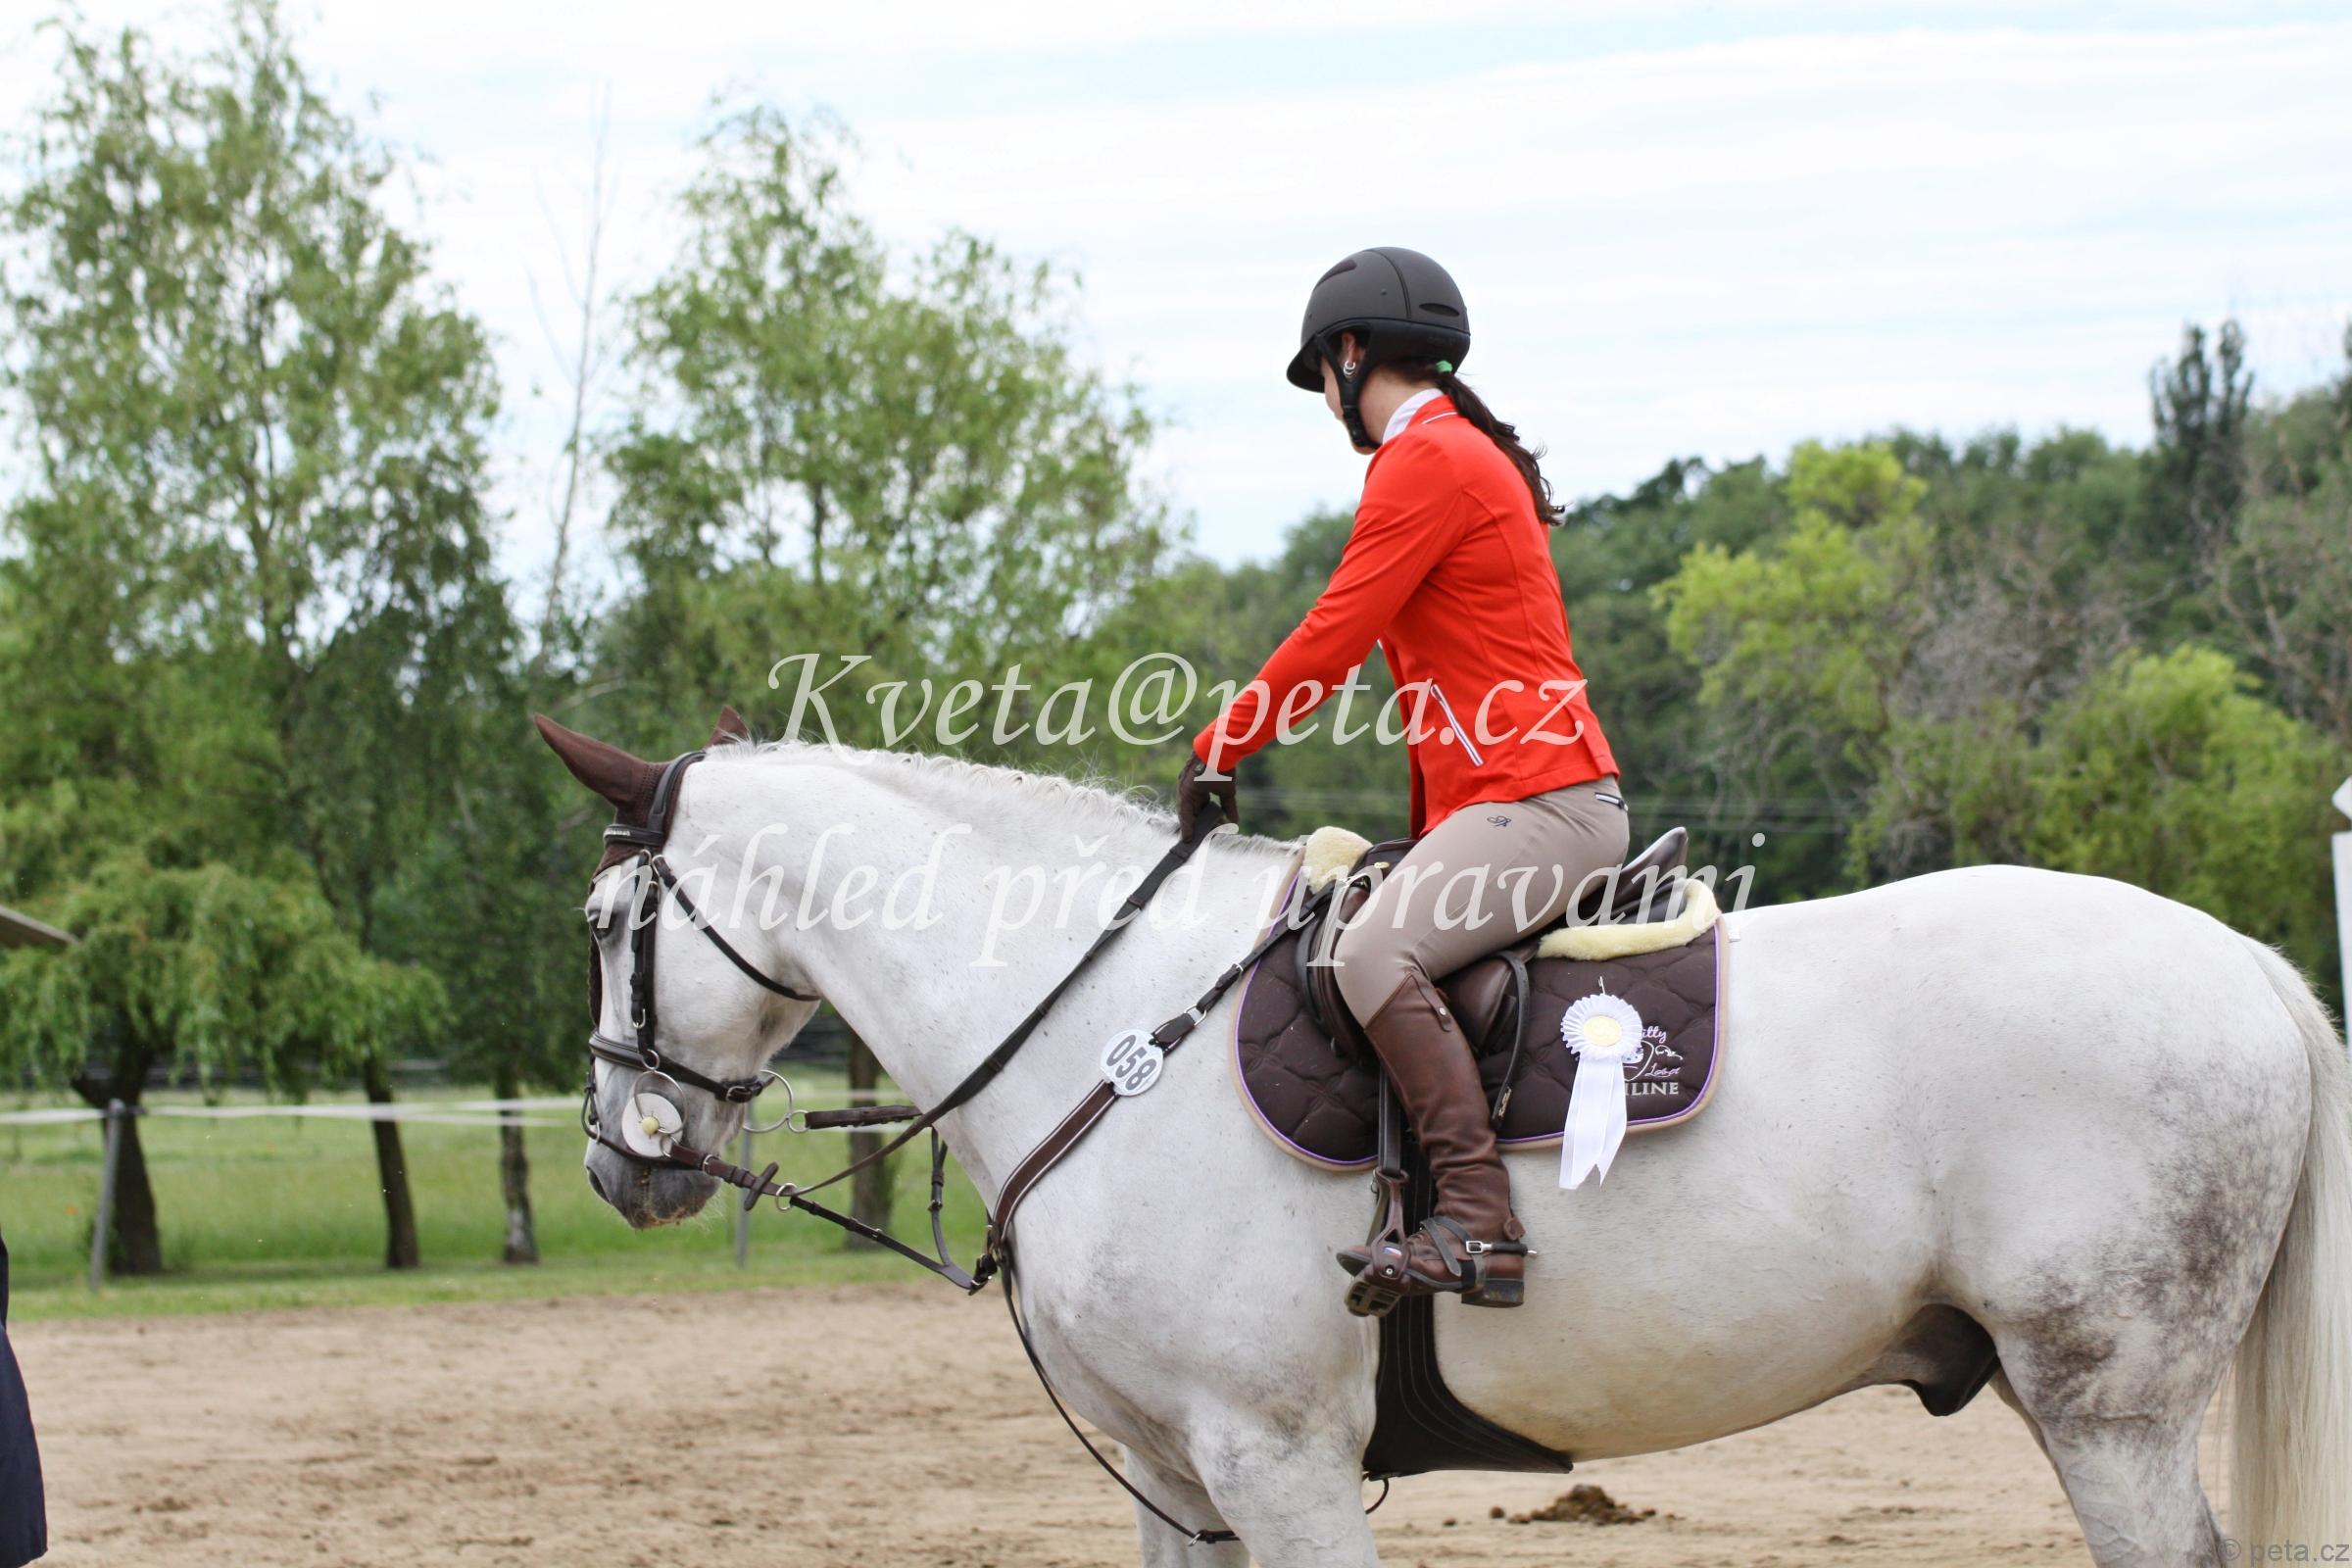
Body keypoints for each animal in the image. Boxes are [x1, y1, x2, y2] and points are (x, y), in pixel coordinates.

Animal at [547, 721, 2351, 1567]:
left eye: (606, 922)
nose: (623, 1160)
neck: (1102, 1019)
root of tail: (2248, 965)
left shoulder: (1277, 1463)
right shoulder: (1176, 1478)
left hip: (2109, 1413)